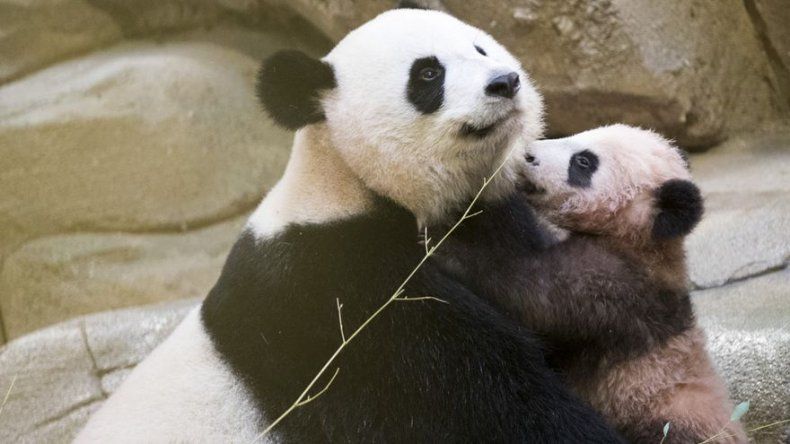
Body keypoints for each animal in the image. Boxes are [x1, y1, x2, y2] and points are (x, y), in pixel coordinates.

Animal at [76, 7, 623, 443]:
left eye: (479, 46)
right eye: (428, 73)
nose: (505, 82)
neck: (347, 182)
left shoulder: (486, 224)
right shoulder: (327, 295)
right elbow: (467, 399)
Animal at [435, 125, 746, 443]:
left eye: (583, 162)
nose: (528, 154)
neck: (645, 242)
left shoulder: (613, 286)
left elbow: (527, 294)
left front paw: (444, 249)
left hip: (672, 420)